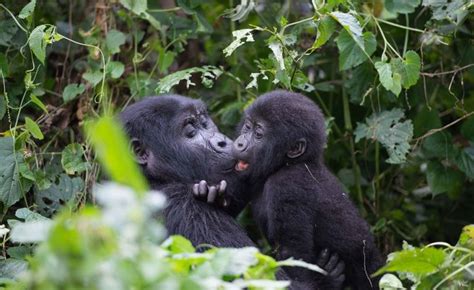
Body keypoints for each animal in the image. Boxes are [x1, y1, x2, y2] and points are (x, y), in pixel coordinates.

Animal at [202, 90, 384, 288]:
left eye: (258, 134)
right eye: (247, 127)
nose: (240, 143)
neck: (289, 163)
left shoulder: (288, 185)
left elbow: (294, 255)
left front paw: (322, 282)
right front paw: (211, 194)